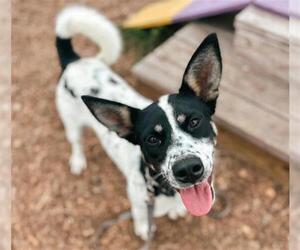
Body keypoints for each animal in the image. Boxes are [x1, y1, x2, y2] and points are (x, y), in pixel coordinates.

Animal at [55, 5, 221, 240]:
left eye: (195, 121)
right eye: (152, 139)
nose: (188, 169)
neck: (162, 188)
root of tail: (74, 61)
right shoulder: (138, 199)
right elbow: (141, 217)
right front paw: (144, 229)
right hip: (71, 122)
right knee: (76, 142)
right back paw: (78, 161)